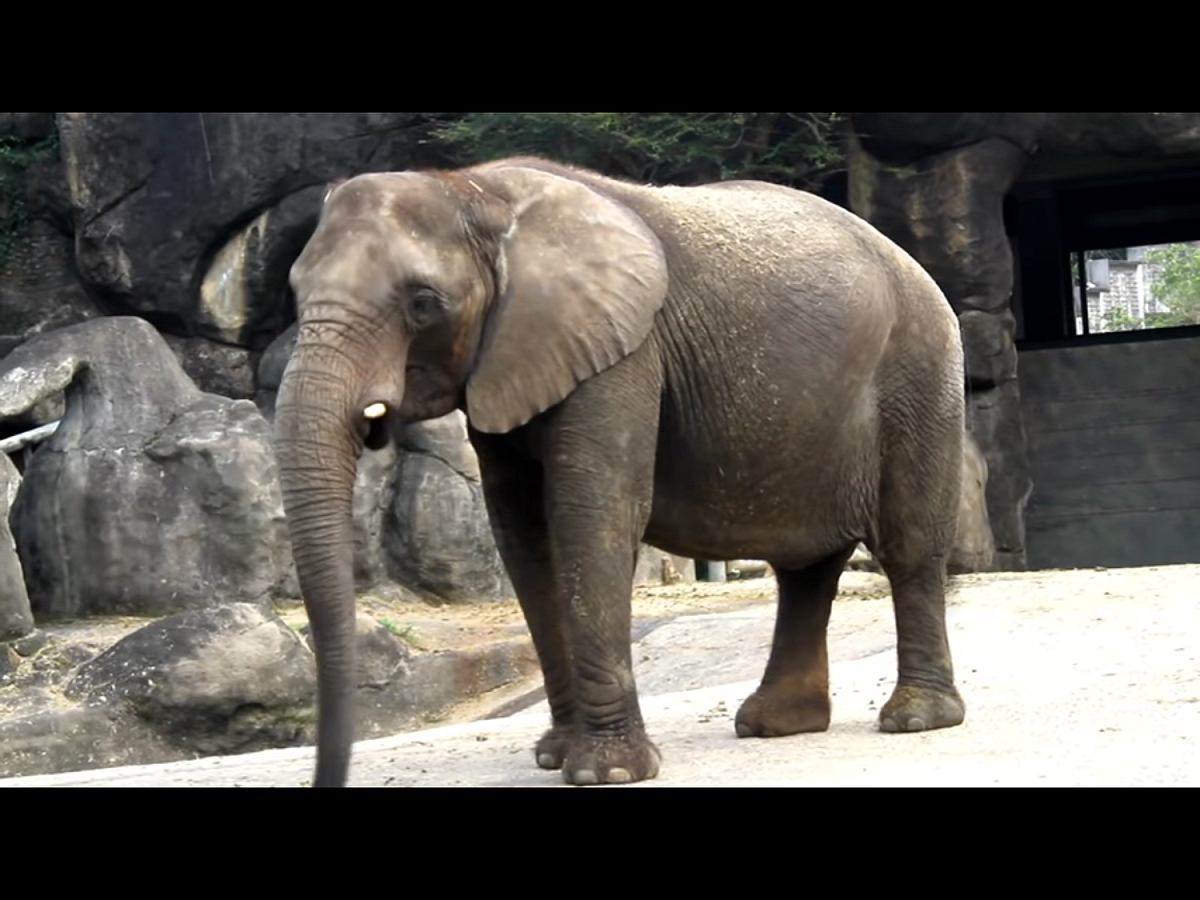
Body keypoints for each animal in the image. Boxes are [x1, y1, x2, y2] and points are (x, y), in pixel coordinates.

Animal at [276, 155, 975, 787]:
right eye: (296, 292)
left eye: (424, 303)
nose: (328, 775)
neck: (474, 188)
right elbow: (523, 535)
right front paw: (555, 757)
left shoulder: (623, 350)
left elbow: (593, 512)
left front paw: (607, 772)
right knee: (805, 567)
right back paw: (775, 724)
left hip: (921, 367)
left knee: (909, 545)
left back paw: (915, 719)